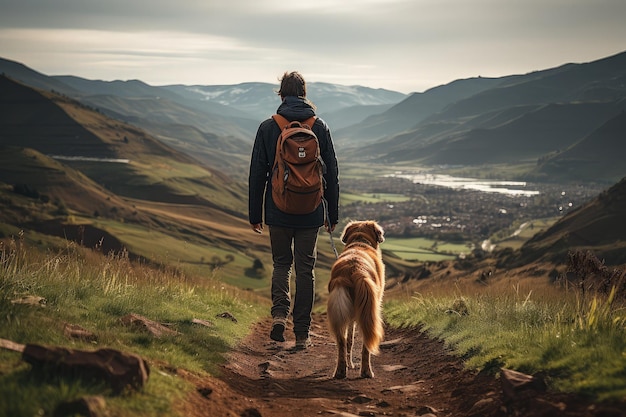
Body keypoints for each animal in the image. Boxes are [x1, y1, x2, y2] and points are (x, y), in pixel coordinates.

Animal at [324, 219, 382, 378]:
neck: (360, 241)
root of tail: (354, 269)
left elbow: (349, 340)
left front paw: (349, 364)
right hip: (370, 310)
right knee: (366, 344)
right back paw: (366, 372)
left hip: (340, 309)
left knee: (342, 342)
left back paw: (341, 370)